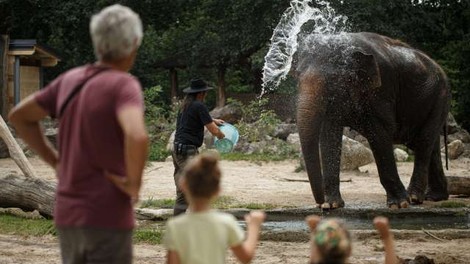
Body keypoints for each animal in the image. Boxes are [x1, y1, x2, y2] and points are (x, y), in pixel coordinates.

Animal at [296, 32, 450, 208]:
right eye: (297, 76)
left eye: (333, 79)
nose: (319, 203)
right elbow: (330, 134)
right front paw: (332, 205)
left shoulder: (381, 89)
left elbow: (379, 132)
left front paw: (399, 204)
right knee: (428, 144)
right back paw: (435, 197)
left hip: (440, 97)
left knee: (423, 142)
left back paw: (414, 198)